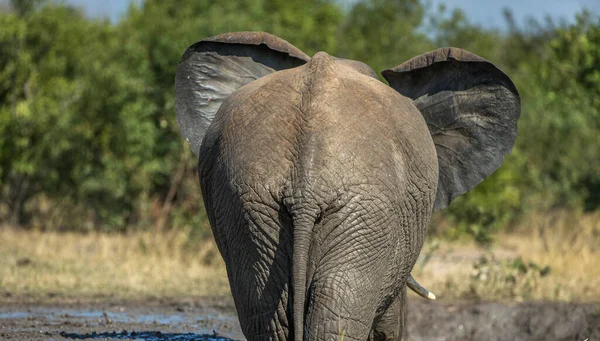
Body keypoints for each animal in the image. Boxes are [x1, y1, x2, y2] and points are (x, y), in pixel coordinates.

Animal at [173, 31, 520, 340]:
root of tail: (305, 188)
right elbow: (389, 326)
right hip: (364, 215)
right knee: (337, 320)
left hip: (250, 208)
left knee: (268, 319)